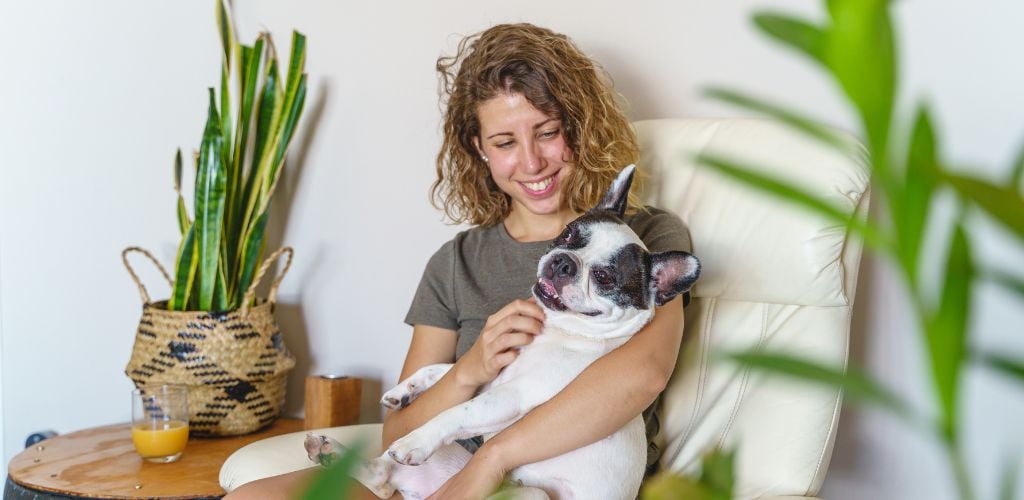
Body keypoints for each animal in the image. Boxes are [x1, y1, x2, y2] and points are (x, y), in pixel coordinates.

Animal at [305, 165, 704, 497]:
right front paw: (404, 391)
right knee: (383, 478)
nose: (564, 262)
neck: (556, 330)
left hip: (532, 493)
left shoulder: (510, 396)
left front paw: (413, 440)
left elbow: (457, 412)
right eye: (568, 234)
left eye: (605, 278)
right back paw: (328, 452)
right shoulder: (490, 377)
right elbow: (443, 370)